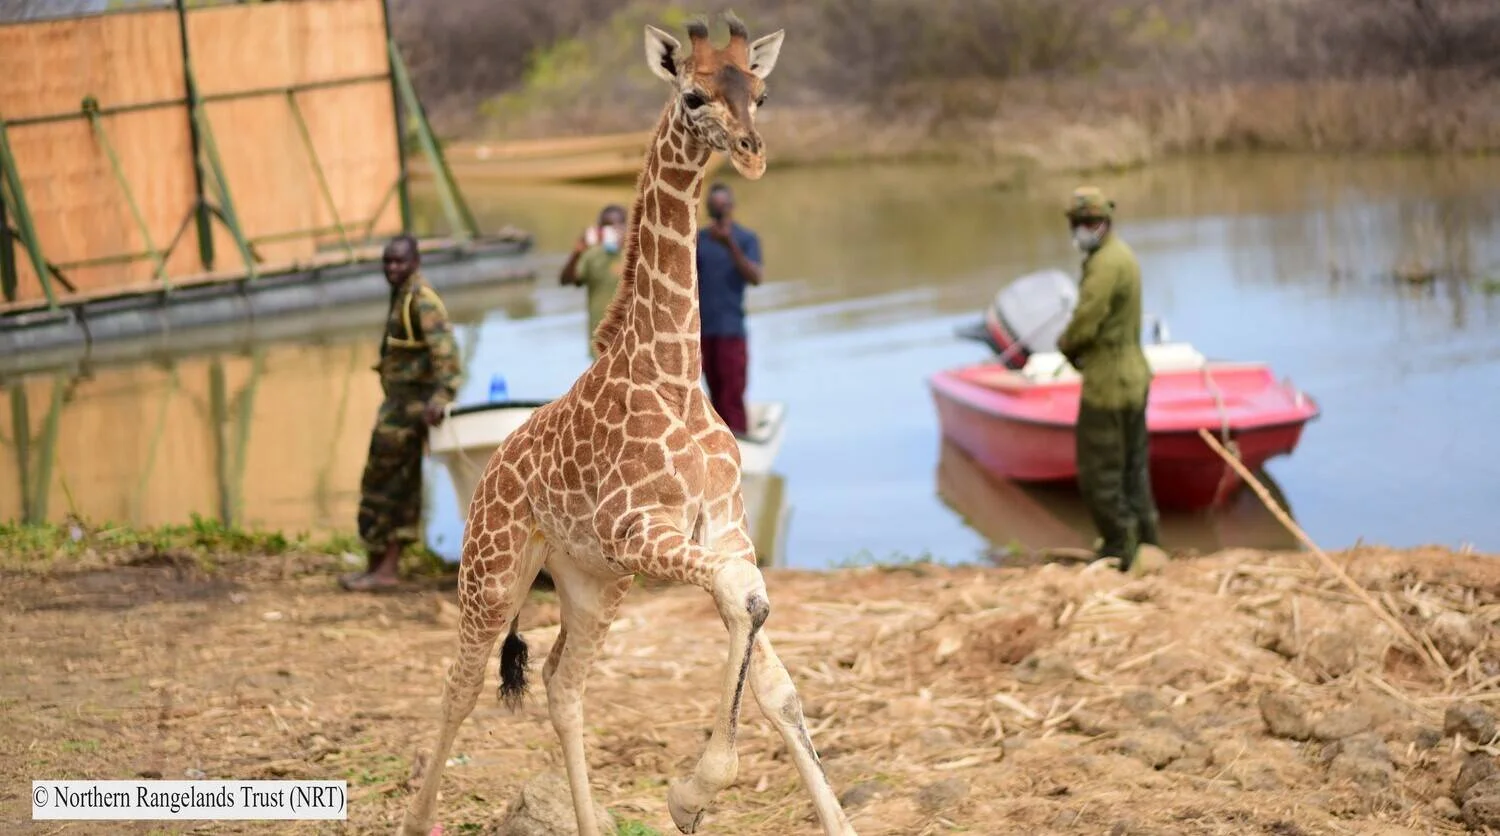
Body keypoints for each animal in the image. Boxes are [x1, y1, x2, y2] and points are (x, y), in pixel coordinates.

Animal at [397, 12, 858, 836]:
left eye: (761, 92)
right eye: (693, 94)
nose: (752, 150)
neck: (673, 375)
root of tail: (488, 473)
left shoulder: (722, 529)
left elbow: (769, 654)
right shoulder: (637, 529)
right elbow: (743, 602)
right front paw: (693, 793)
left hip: (592, 584)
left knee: (561, 682)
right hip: (493, 571)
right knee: (462, 683)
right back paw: (419, 821)